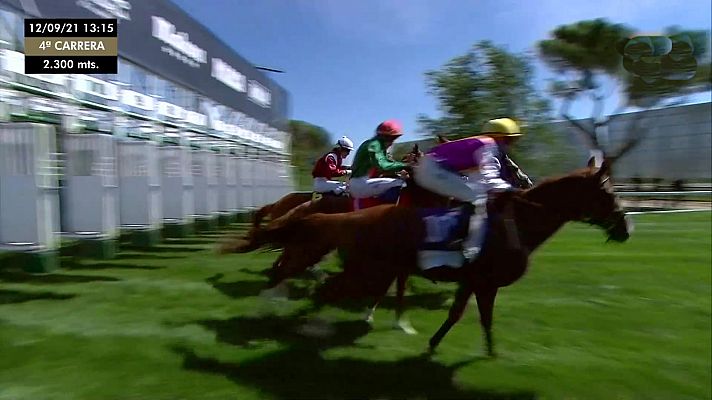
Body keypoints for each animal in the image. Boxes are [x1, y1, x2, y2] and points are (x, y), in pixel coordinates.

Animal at [231, 159, 632, 356]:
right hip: (362, 268)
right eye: (607, 193)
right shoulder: (483, 281)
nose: (626, 228)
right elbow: (469, 315)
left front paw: (459, 347)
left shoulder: (474, 281)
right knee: (314, 283)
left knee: (312, 281)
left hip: (360, 265)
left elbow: (464, 316)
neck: (518, 221)